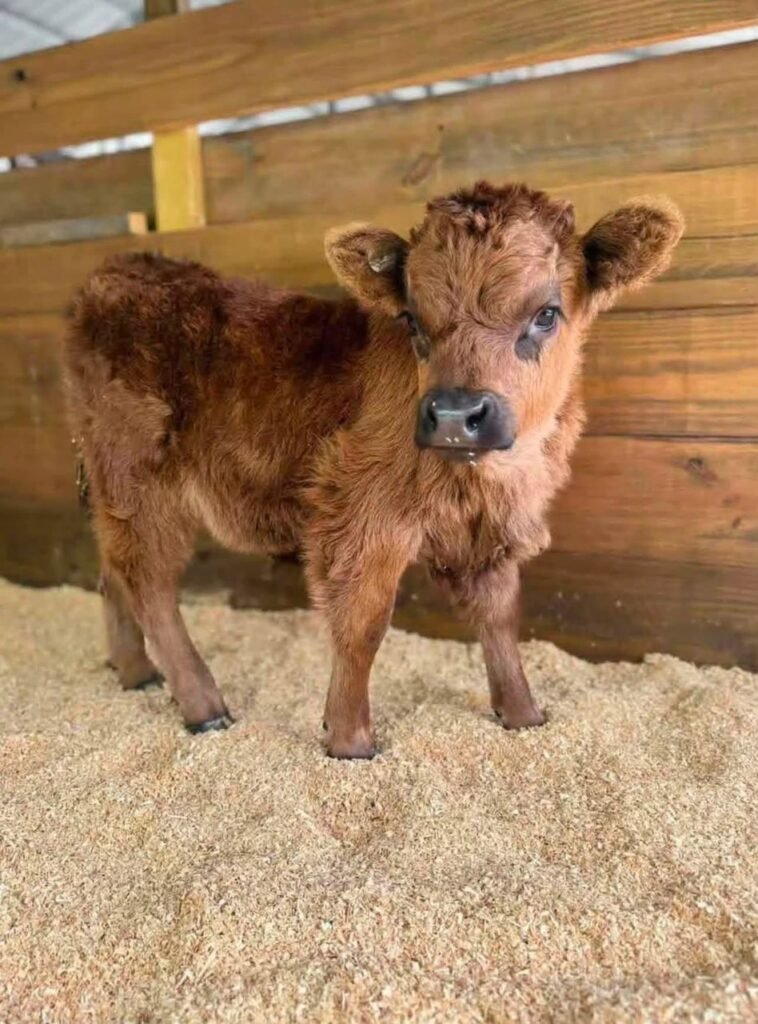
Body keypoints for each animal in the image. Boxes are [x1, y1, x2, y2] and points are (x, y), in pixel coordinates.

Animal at [63, 181, 683, 758]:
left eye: (547, 314)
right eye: (413, 320)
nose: (454, 416)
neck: (487, 479)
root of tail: (119, 270)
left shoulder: (490, 530)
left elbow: (500, 619)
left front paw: (524, 715)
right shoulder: (361, 520)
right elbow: (362, 624)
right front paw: (350, 739)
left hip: (112, 487)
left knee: (114, 573)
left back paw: (136, 673)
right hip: (140, 480)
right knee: (149, 585)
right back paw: (204, 706)